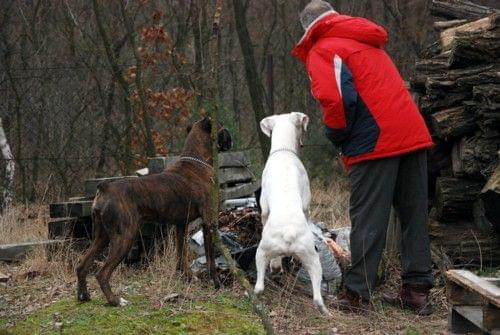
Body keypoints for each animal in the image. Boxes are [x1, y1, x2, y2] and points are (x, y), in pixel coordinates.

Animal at [75, 117, 231, 308]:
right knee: (102, 273)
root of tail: (105, 188)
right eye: (222, 127)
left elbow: (181, 256)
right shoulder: (208, 222)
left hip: (101, 236)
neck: (196, 161)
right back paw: (116, 300)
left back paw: (84, 295)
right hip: (125, 236)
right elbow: (210, 260)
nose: (230, 135)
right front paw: (216, 284)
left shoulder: (181, 225)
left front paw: (187, 278)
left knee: (82, 265)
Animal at [254, 112, 328, 316]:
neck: (284, 151)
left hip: (261, 253)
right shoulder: (306, 207)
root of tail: (288, 233)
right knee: (317, 297)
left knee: (260, 285)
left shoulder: (264, 209)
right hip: (313, 261)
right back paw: (325, 311)